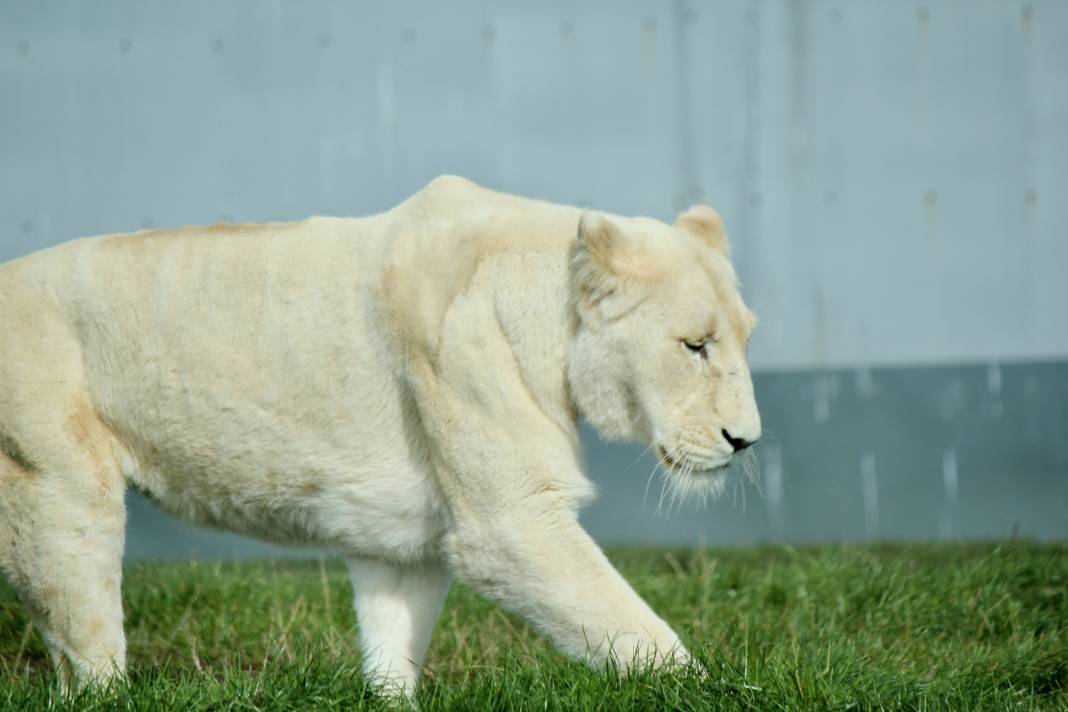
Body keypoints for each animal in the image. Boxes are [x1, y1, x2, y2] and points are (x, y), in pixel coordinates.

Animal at [0, 177, 760, 695]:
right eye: (694, 345)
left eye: (745, 339)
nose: (746, 440)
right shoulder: (510, 523)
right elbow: (628, 624)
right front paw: (717, 691)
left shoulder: (403, 534)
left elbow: (395, 637)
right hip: (56, 483)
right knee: (81, 632)